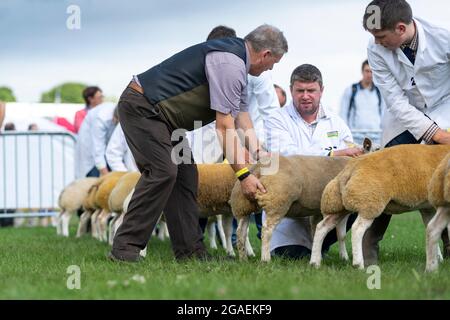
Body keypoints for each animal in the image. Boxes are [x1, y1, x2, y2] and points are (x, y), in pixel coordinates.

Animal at [312, 144, 450, 270]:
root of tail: (349, 170)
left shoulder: (427, 208)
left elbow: (431, 227)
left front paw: (438, 258)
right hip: (369, 202)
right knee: (357, 229)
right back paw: (358, 264)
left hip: (338, 205)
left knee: (322, 227)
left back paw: (315, 262)